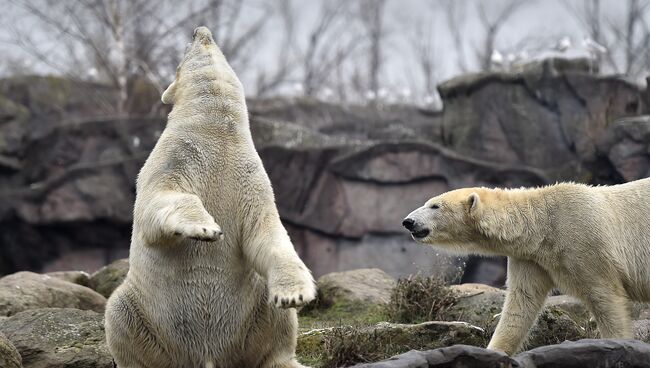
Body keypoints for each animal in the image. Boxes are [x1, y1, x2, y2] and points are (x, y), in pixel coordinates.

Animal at [104, 26, 316, 368]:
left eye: (187, 48)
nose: (200, 30)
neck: (217, 129)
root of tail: (205, 355)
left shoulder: (247, 178)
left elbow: (267, 233)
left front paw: (293, 295)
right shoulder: (180, 158)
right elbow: (160, 200)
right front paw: (206, 228)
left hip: (251, 313)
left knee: (275, 323)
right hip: (145, 310)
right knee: (120, 315)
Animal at [402, 177, 650, 356]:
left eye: (434, 205)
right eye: (429, 202)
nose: (408, 222)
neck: (544, 223)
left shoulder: (584, 239)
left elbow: (605, 296)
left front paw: (619, 344)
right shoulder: (531, 257)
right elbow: (521, 302)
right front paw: (494, 351)